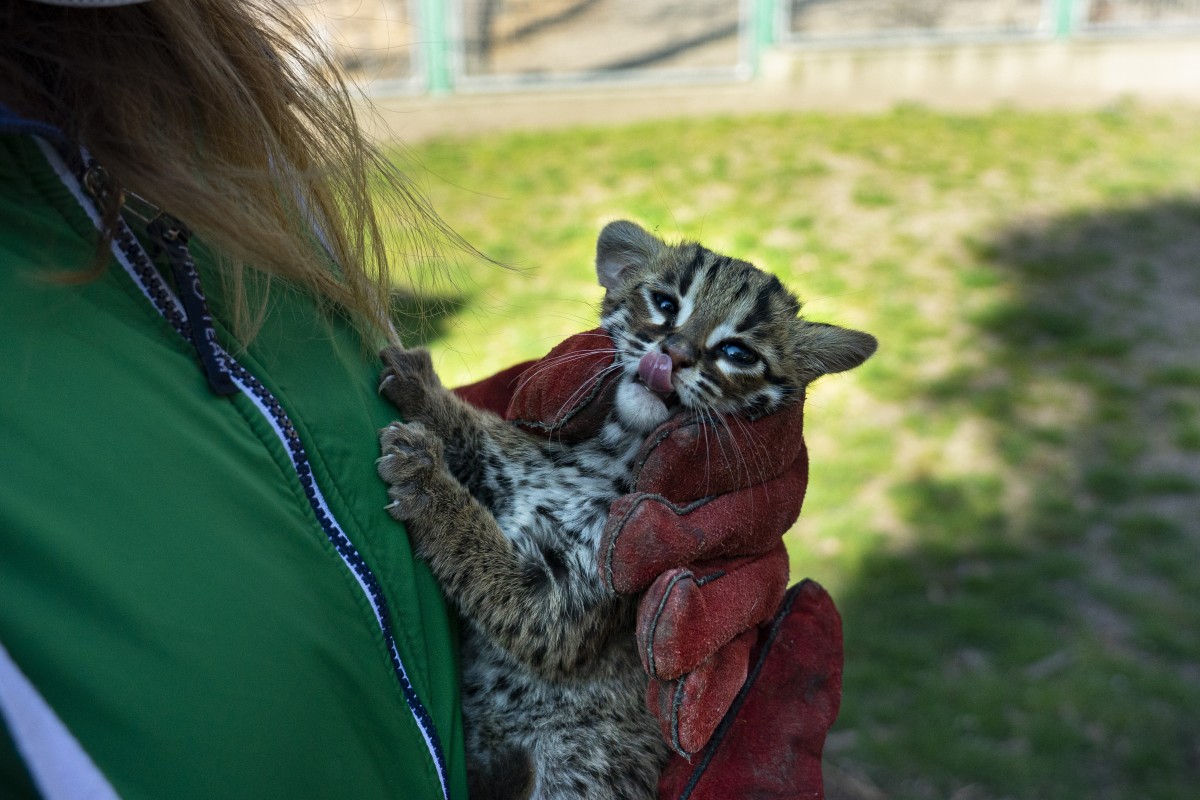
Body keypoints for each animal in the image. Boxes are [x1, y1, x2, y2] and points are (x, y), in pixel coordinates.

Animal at [379, 220, 878, 800]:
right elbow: (477, 434)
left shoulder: (563, 602)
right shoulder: (510, 467)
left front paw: (425, 479)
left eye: (738, 352)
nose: (674, 353)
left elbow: (479, 550)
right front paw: (423, 391)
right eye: (665, 303)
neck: (614, 448)